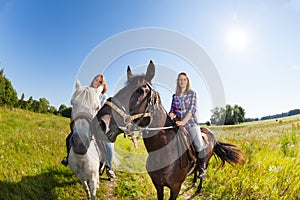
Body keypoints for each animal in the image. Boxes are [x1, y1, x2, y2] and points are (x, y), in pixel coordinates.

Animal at [90, 60, 245, 198]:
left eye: (140, 90)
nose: (99, 124)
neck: (163, 152)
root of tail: (210, 133)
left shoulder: (175, 188)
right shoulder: (158, 185)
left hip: (206, 162)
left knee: (202, 172)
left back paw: (198, 188)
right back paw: (193, 183)